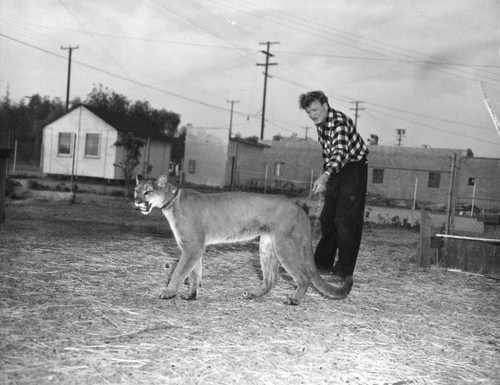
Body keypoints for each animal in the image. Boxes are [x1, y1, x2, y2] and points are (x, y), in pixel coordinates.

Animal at [133, 176, 352, 304]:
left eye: (148, 191)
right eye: (136, 190)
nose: (136, 201)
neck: (171, 202)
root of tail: (299, 207)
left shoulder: (193, 247)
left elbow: (179, 271)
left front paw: (168, 292)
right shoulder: (194, 249)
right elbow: (194, 273)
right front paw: (191, 295)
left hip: (284, 246)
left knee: (303, 277)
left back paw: (293, 299)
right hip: (266, 246)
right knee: (271, 279)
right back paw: (253, 295)